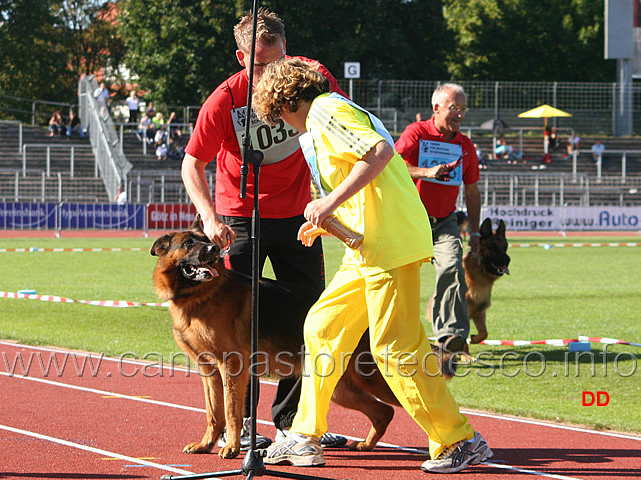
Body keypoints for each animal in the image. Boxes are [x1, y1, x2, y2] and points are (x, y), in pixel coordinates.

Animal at [151, 217, 452, 458]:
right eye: (189, 243)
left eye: (207, 242)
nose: (215, 250)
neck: (198, 296)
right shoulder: (209, 371)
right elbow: (214, 413)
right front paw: (206, 444)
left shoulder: (232, 368)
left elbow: (231, 413)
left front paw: (233, 448)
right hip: (343, 389)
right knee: (384, 412)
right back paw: (366, 445)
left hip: (374, 379)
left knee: (426, 403)